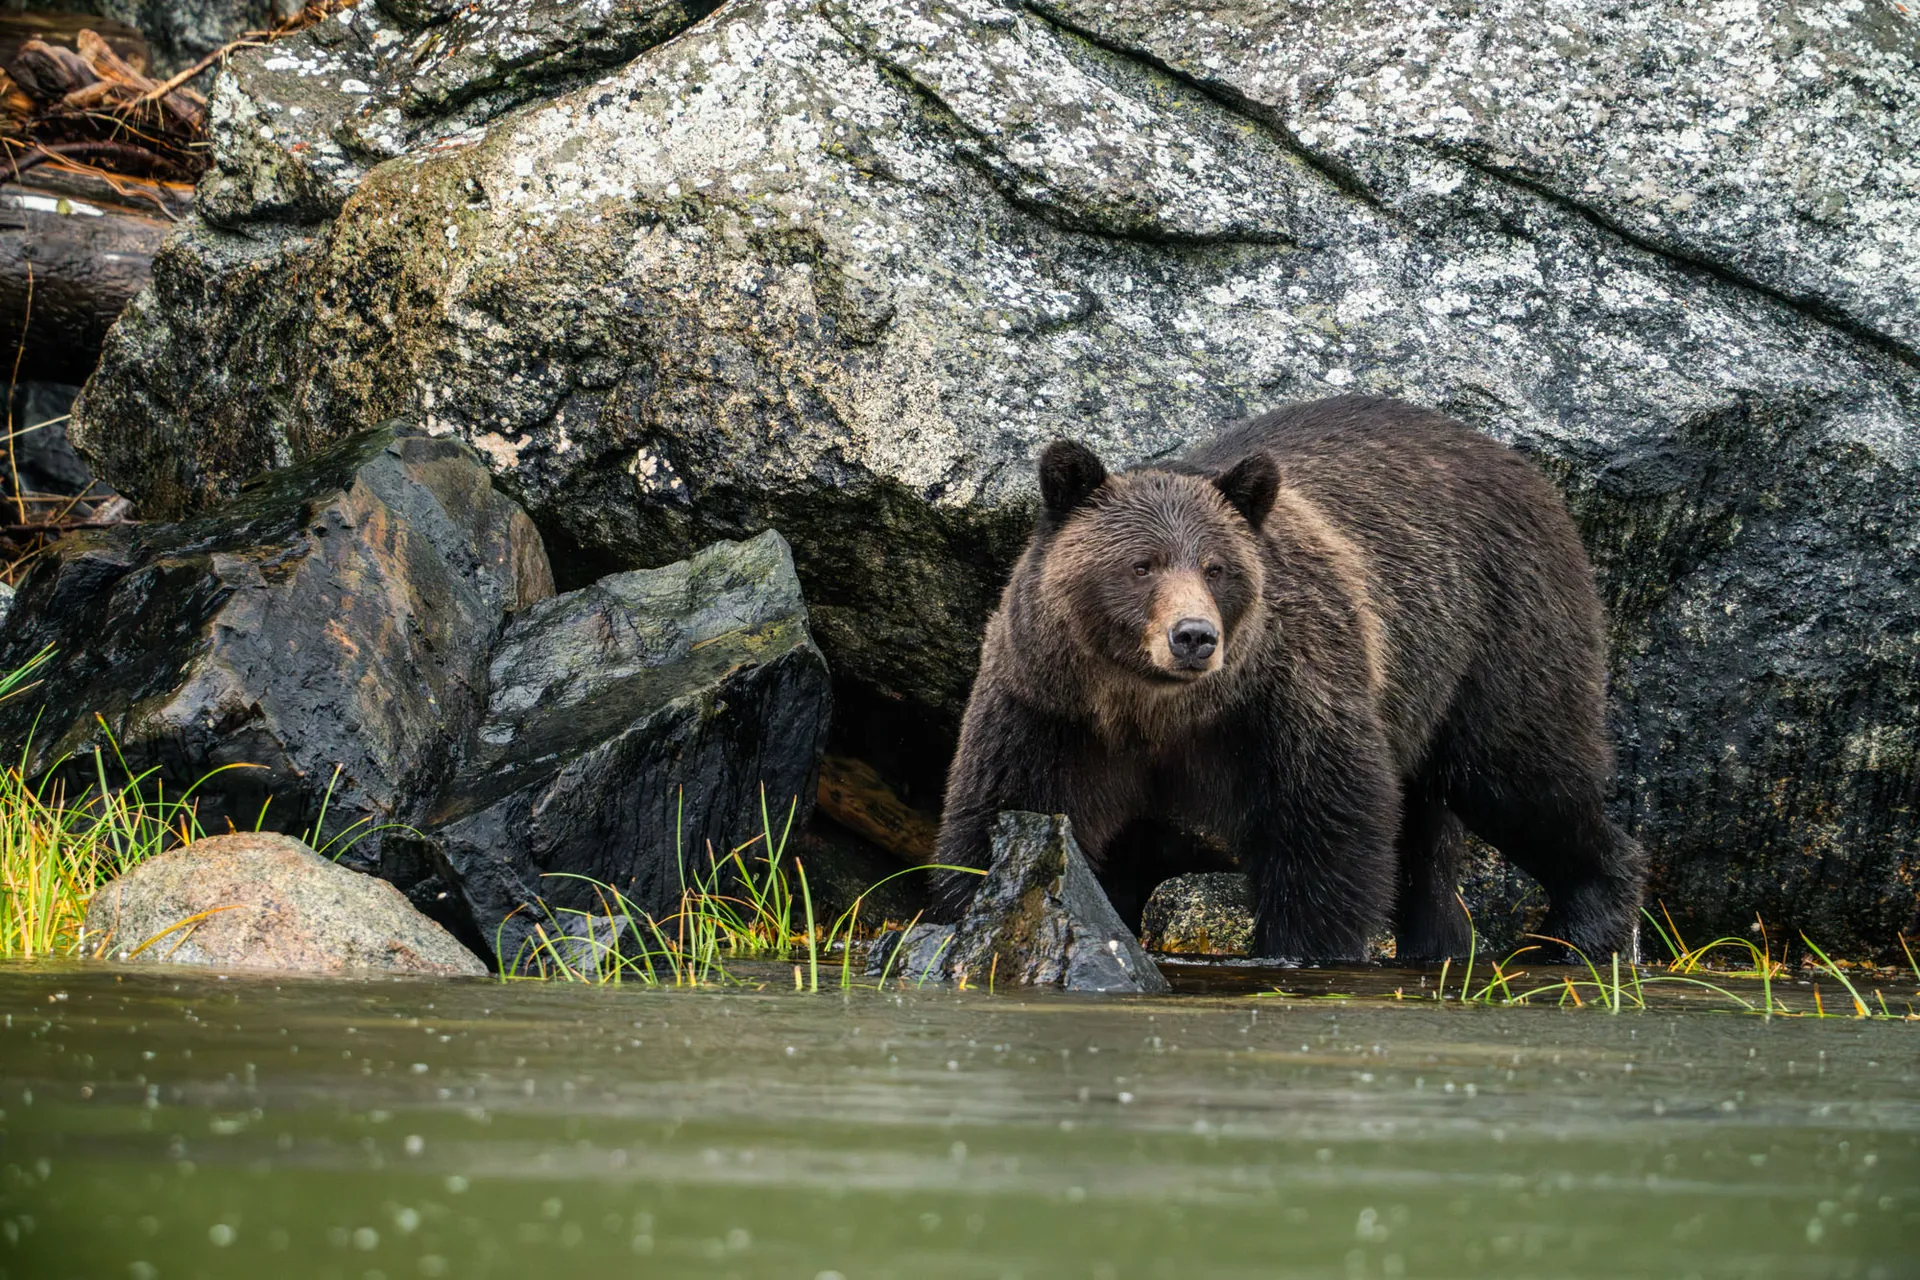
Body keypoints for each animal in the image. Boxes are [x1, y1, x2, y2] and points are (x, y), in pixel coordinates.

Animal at [934, 395, 1645, 963]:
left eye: (1216, 566)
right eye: (1142, 564)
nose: (1193, 636)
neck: (1156, 709)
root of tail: (1524, 469)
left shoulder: (1281, 702)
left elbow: (1324, 829)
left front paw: (1298, 948)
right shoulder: (1050, 709)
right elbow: (1001, 814)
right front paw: (975, 913)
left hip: (1498, 636)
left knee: (1524, 775)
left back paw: (1578, 930)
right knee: (1430, 832)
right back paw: (1442, 943)